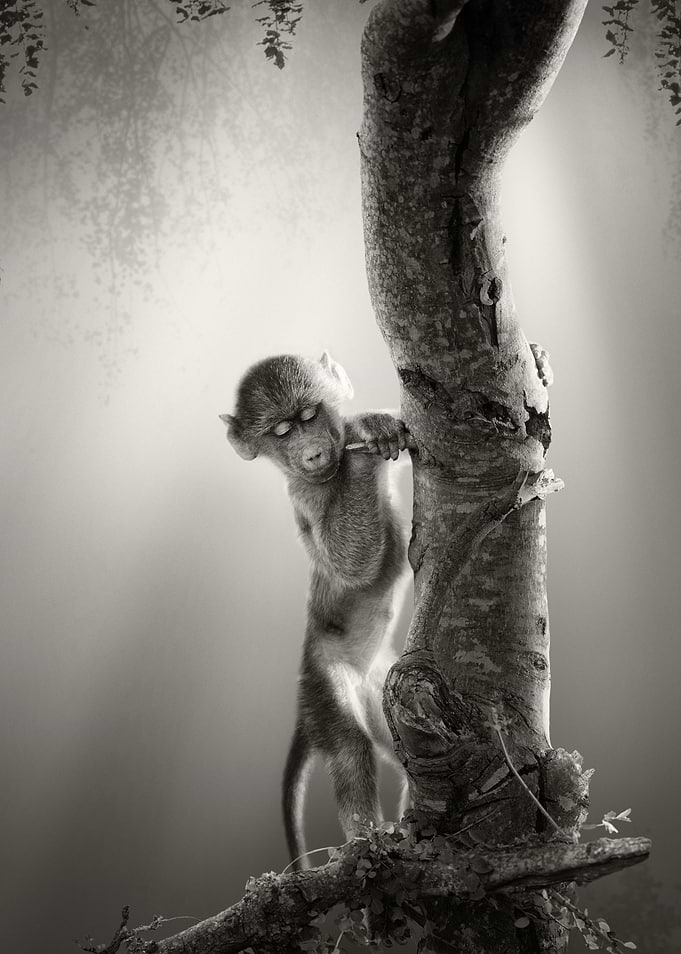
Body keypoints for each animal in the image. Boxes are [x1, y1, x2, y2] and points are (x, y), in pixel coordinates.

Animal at [220, 352, 411, 871]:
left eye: (308, 416)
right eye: (282, 431)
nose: (312, 454)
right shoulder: (305, 496)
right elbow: (351, 562)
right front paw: (365, 439)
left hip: (381, 685)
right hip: (324, 681)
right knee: (349, 745)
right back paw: (369, 841)